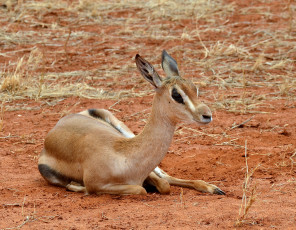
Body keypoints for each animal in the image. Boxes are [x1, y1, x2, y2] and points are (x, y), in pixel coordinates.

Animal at [38, 50, 225, 196]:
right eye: (176, 94)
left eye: (194, 88)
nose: (207, 115)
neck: (124, 156)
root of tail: (60, 123)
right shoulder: (97, 185)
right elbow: (141, 189)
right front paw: (76, 186)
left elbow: (163, 184)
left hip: (123, 128)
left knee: (166, 176)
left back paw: (214, 188)